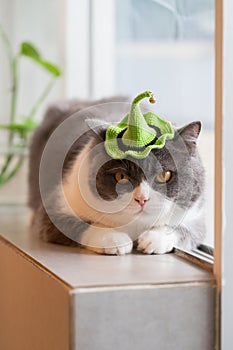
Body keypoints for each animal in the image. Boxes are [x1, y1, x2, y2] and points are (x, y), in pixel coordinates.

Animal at [28, 97, 205, 256]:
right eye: (121, 176)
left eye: (164, 174)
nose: (142, 199)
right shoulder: (55, 207)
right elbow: (81, 224)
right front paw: (113, 239)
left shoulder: (197, 216)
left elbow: (188, 229)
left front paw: (154, 239)